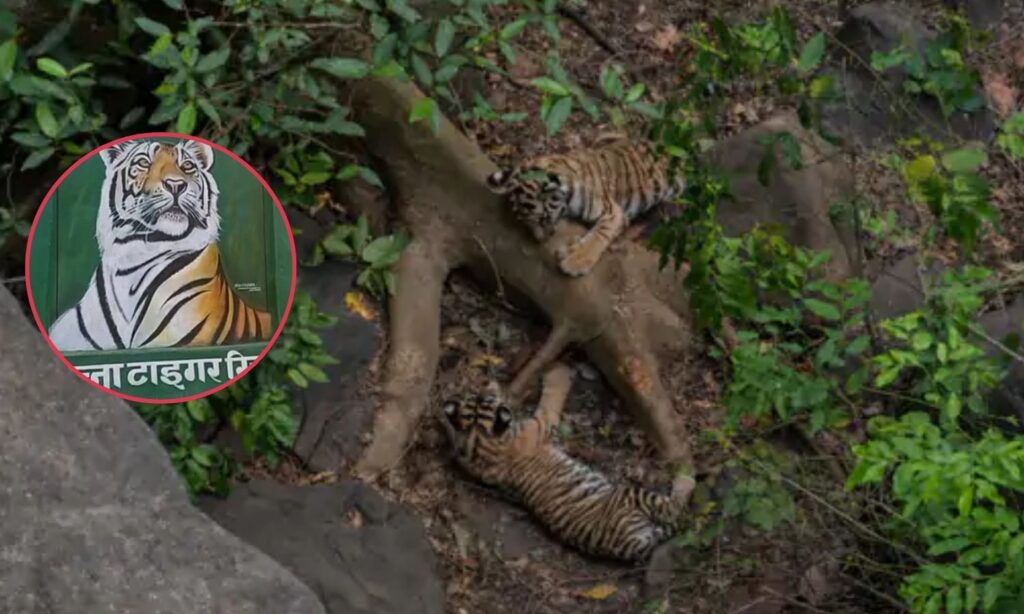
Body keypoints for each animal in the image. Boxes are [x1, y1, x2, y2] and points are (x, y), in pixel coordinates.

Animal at [439, 363, 694, 562]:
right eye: (485, 398)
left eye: (478, 397)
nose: (488, 385)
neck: (481, 445)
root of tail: (635, 546)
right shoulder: (539, 425)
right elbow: (551, 398)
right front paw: (558, 372)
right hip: (630, 496)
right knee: (673, 509)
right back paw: (685, 477)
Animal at [485, 139, 685, 277]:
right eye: (525, 223)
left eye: (543, 218)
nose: (540, 240)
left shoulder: (613, 212)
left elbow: (599, 235)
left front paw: (575, 261)